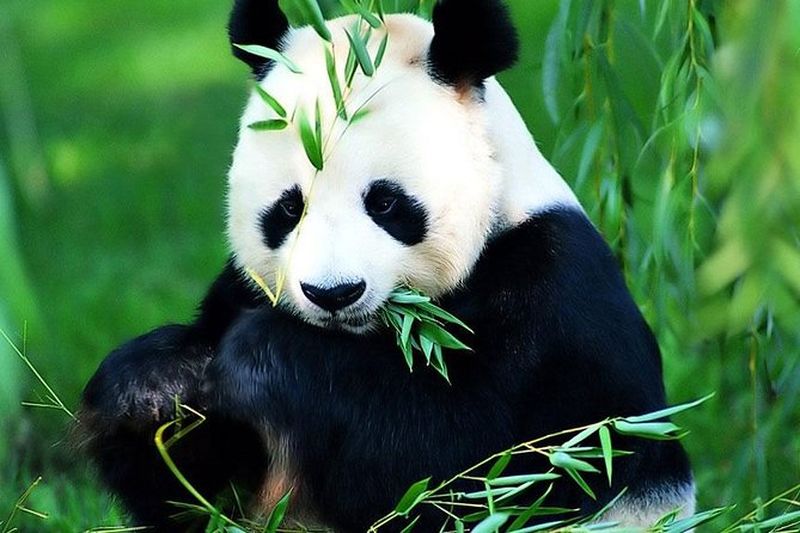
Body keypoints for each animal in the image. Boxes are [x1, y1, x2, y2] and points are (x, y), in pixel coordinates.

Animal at [80, 0, 695, 531]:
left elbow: (466, 463)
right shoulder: (243, 288)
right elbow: (202, 492)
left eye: (385, 203)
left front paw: (262, 356)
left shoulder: (556, 300)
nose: (333, 294)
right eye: (289, 208)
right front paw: (155, 383)